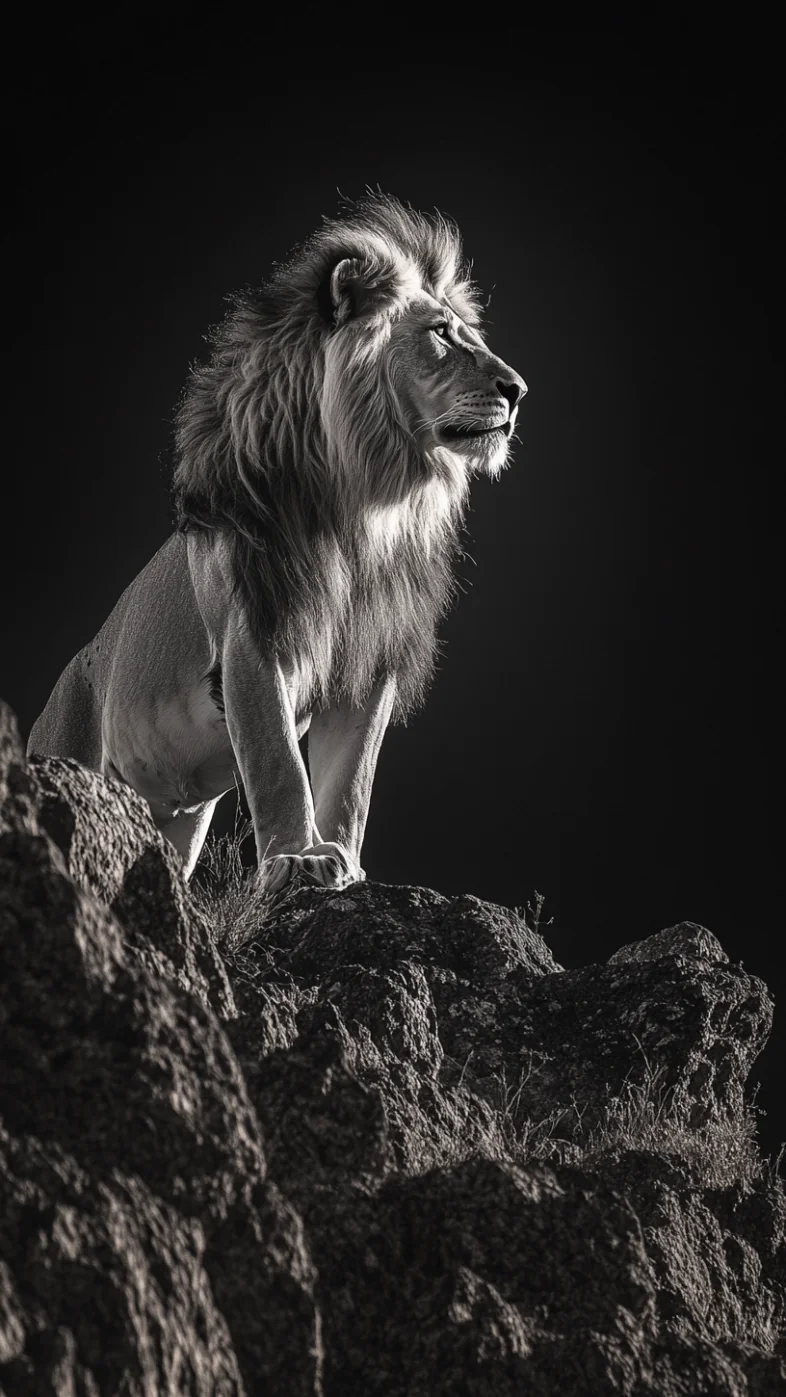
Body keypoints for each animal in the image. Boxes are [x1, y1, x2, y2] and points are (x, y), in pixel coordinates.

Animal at [28, 194, 527, 894]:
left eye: (469, 335)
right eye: (440, 334)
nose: (519, 390)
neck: (368, 508)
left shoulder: (369, 664)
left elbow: (351, 783)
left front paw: (347, 865)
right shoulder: (254, 640)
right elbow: (279, 767)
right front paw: (298, 860)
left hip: (172, 821)